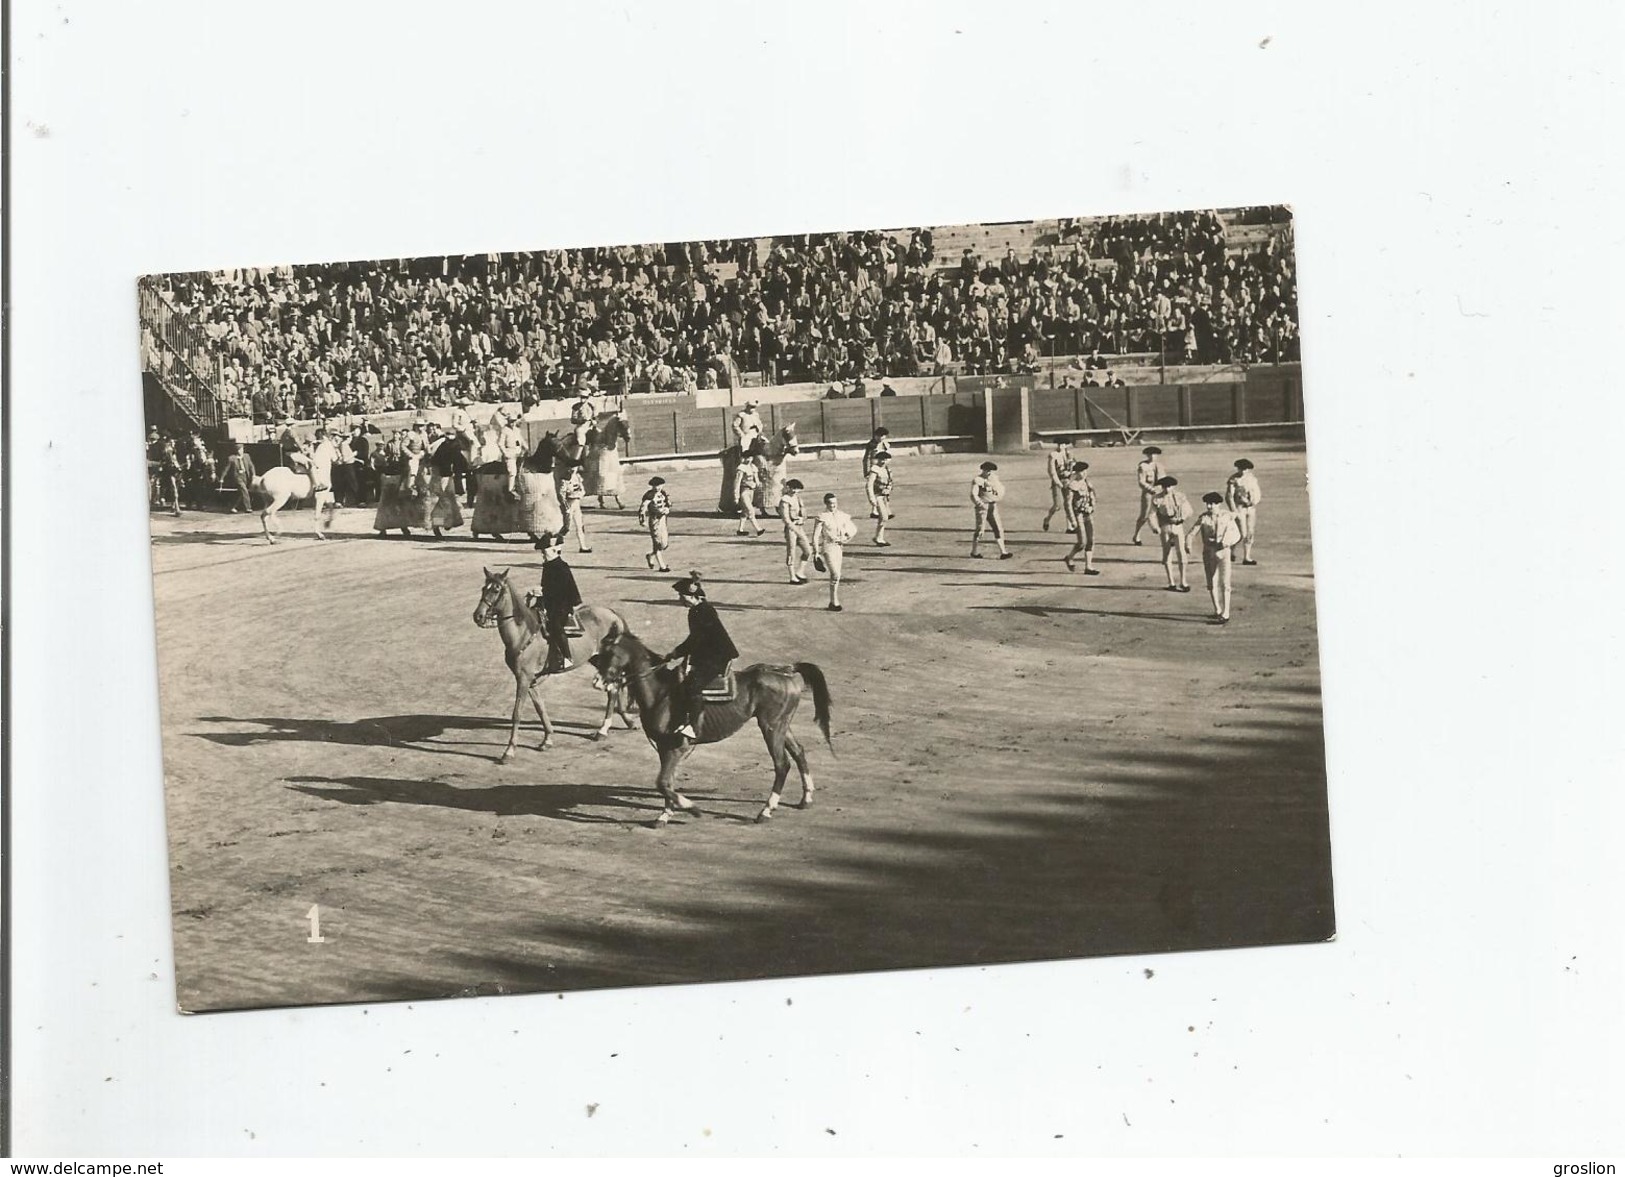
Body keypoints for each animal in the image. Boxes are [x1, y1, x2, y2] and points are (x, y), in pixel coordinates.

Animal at [471, 565, 633, 757]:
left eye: (496, 590)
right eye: (483, 588)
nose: (478, 616)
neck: (523, 633)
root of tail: (613, 614)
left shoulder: (523, 678)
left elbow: (517, 713)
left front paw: (509, 750)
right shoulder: (530, 680)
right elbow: (540, 707)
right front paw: (547, 739)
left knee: (613, 689)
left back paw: (604, 728)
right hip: (597, 658)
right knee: (614, 687)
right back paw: (624, 721)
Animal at [588, 630, 838, 822]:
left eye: (610, 653)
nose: (597, 682)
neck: (661, 692)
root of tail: (787, 670)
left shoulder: (676, 747)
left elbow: (663, 782)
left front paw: (691, 808)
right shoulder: (663, 746)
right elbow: (667, 783)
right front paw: (666, 814)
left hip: (771, 727)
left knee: (782, 764)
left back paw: (766, 811)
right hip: (782, 725)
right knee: (799, 752)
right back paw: (806, 798)